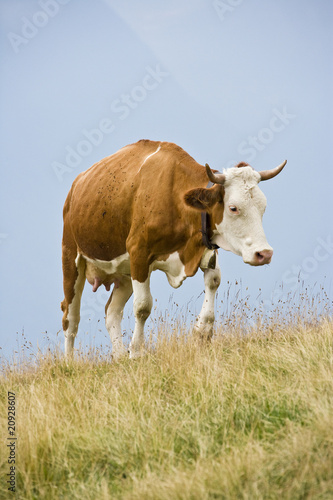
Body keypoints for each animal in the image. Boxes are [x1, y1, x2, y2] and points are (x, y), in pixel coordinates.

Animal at [61, 140, 286, 360]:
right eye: (233, 208)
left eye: (263, 207)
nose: (264, 253)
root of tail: (75, 187)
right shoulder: (139, 252)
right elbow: (142, 306)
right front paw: (138, 351)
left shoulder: (205, 248)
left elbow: (213, 281)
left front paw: (202, 333)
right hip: (71, 256)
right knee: (70, 317)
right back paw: (70, 362)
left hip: (124, 272)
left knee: (112, 312)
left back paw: (119, 356)